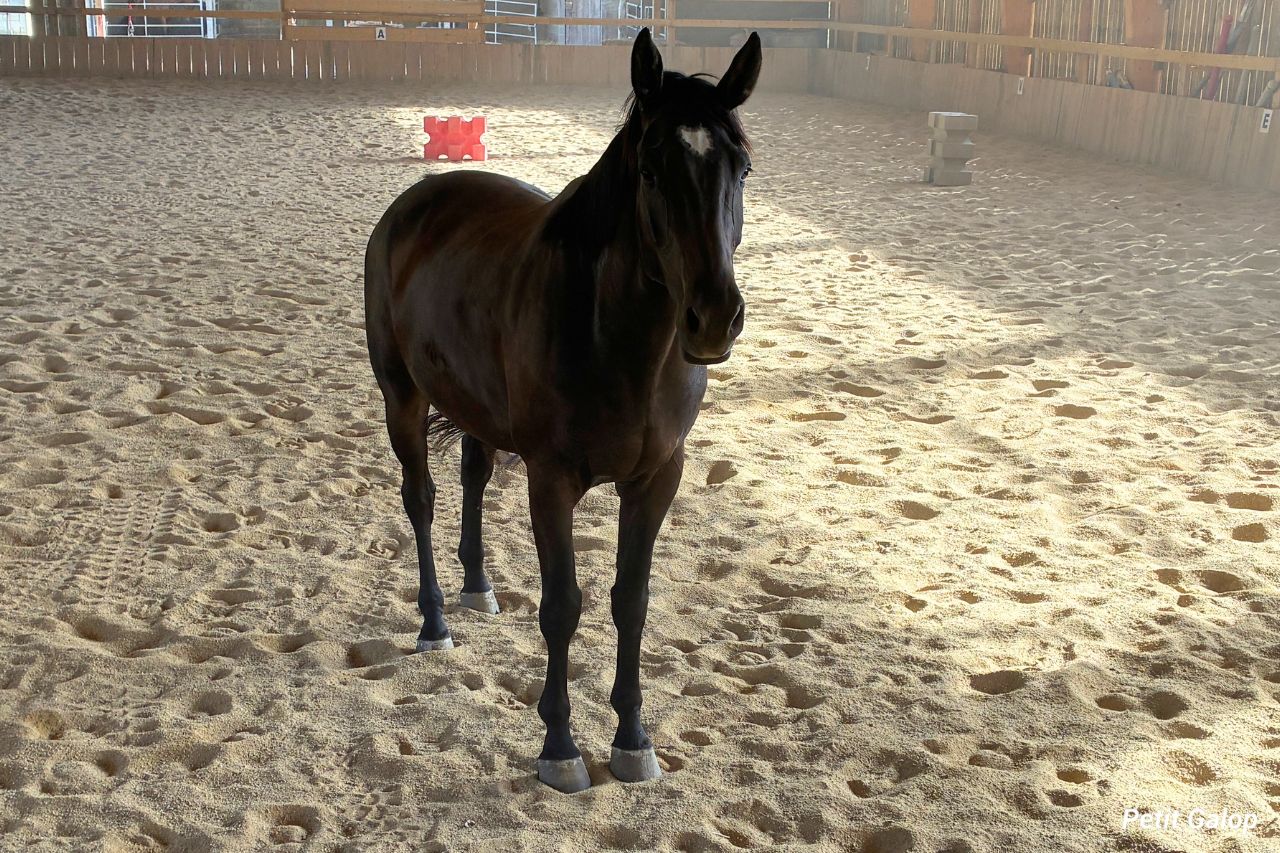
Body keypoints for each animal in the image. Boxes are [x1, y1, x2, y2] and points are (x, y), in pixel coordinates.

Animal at [363, 28, 761, 793]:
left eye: (743, 169)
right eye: (650, 170)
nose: (713, 319)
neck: (614, 336)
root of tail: (413, 203)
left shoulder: (657, 479)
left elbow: (630, 601)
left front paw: (633, 738)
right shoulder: (551, 482)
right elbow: (563, 606)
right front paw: (559, 746)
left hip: (475, 409)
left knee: (473, 477)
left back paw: (478, 586)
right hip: (402, 396)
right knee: (420, 499)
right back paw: (434, 621)